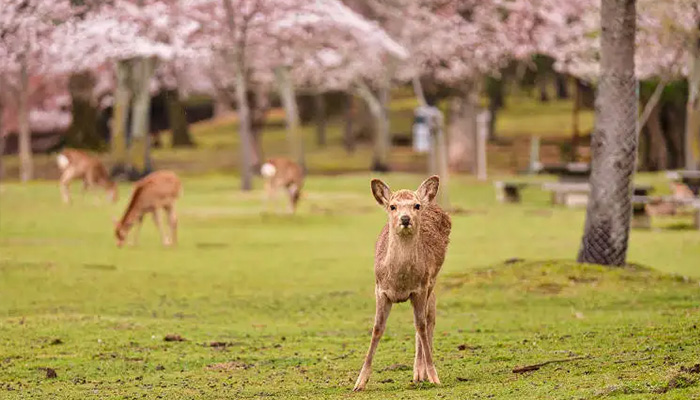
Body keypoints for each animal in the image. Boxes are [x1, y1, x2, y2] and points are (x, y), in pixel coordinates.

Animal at [352, 175, 452, 390]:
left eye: (416, 205)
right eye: (392, 206)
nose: (405, 219)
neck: (400, 282)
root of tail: (432, 203)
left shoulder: (420, 288)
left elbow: (421, 325)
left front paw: (433, 376)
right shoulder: (380, 290)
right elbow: (377, 328)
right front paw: (359, 382)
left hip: (432, 281)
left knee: (429, 319)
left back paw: (420, 374)